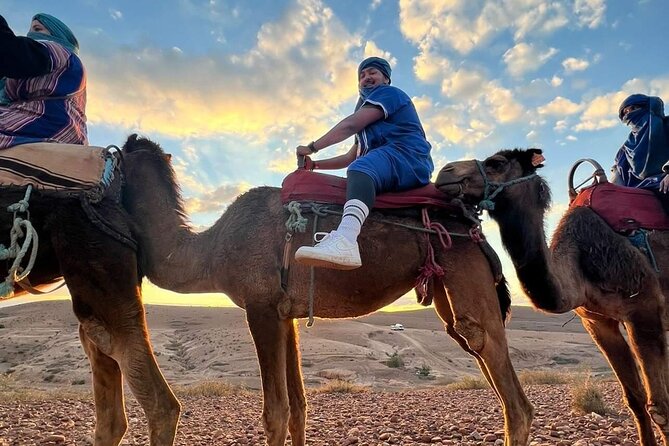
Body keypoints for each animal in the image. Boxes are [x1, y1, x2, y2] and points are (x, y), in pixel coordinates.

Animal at [120, 135, 536, 446]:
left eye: (117, 157)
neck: (211, 250)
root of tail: (473, 227)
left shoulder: (259, 306)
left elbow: (275, 412)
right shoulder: (283, 312)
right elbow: (298, 407)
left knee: (510, 394)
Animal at [436, 150, 668, 446]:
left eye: (496, 163)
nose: (444, 173)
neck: (580, 264)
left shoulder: (644, 308)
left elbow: (660, 407)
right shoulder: (597, 321)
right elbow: (635, 399)